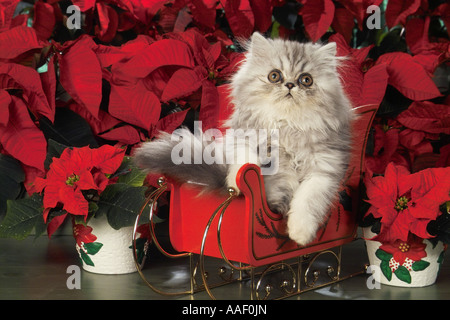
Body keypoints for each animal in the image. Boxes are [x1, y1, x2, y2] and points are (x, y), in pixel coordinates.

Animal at [135, 33, 354, 245]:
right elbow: (246, 161)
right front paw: (236, 183)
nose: (290, 85)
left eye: (306, 80)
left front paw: (300, 234)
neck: (286, 125)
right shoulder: (242, 139)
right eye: (274, 76)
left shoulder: (324, 170)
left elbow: (307, 201)